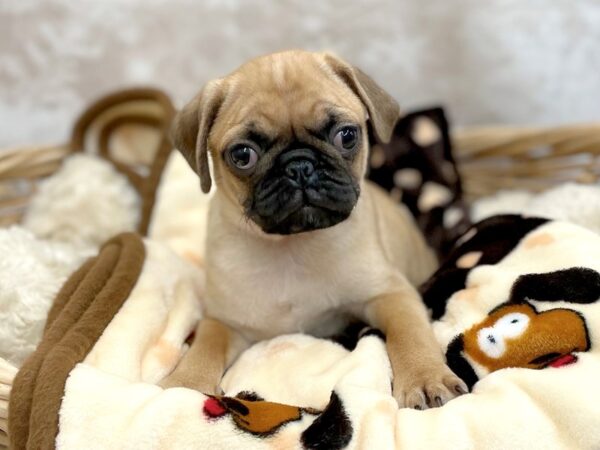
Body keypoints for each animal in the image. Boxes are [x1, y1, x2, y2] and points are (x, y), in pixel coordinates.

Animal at [162, 49, 466, 408]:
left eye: (346, 136)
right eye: (242, 155)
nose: (299, 166)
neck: (292, 245)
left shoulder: (389, 293)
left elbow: (410, 333)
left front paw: (425, 376)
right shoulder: (226, 321)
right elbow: (204, 346)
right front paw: (185, 384)